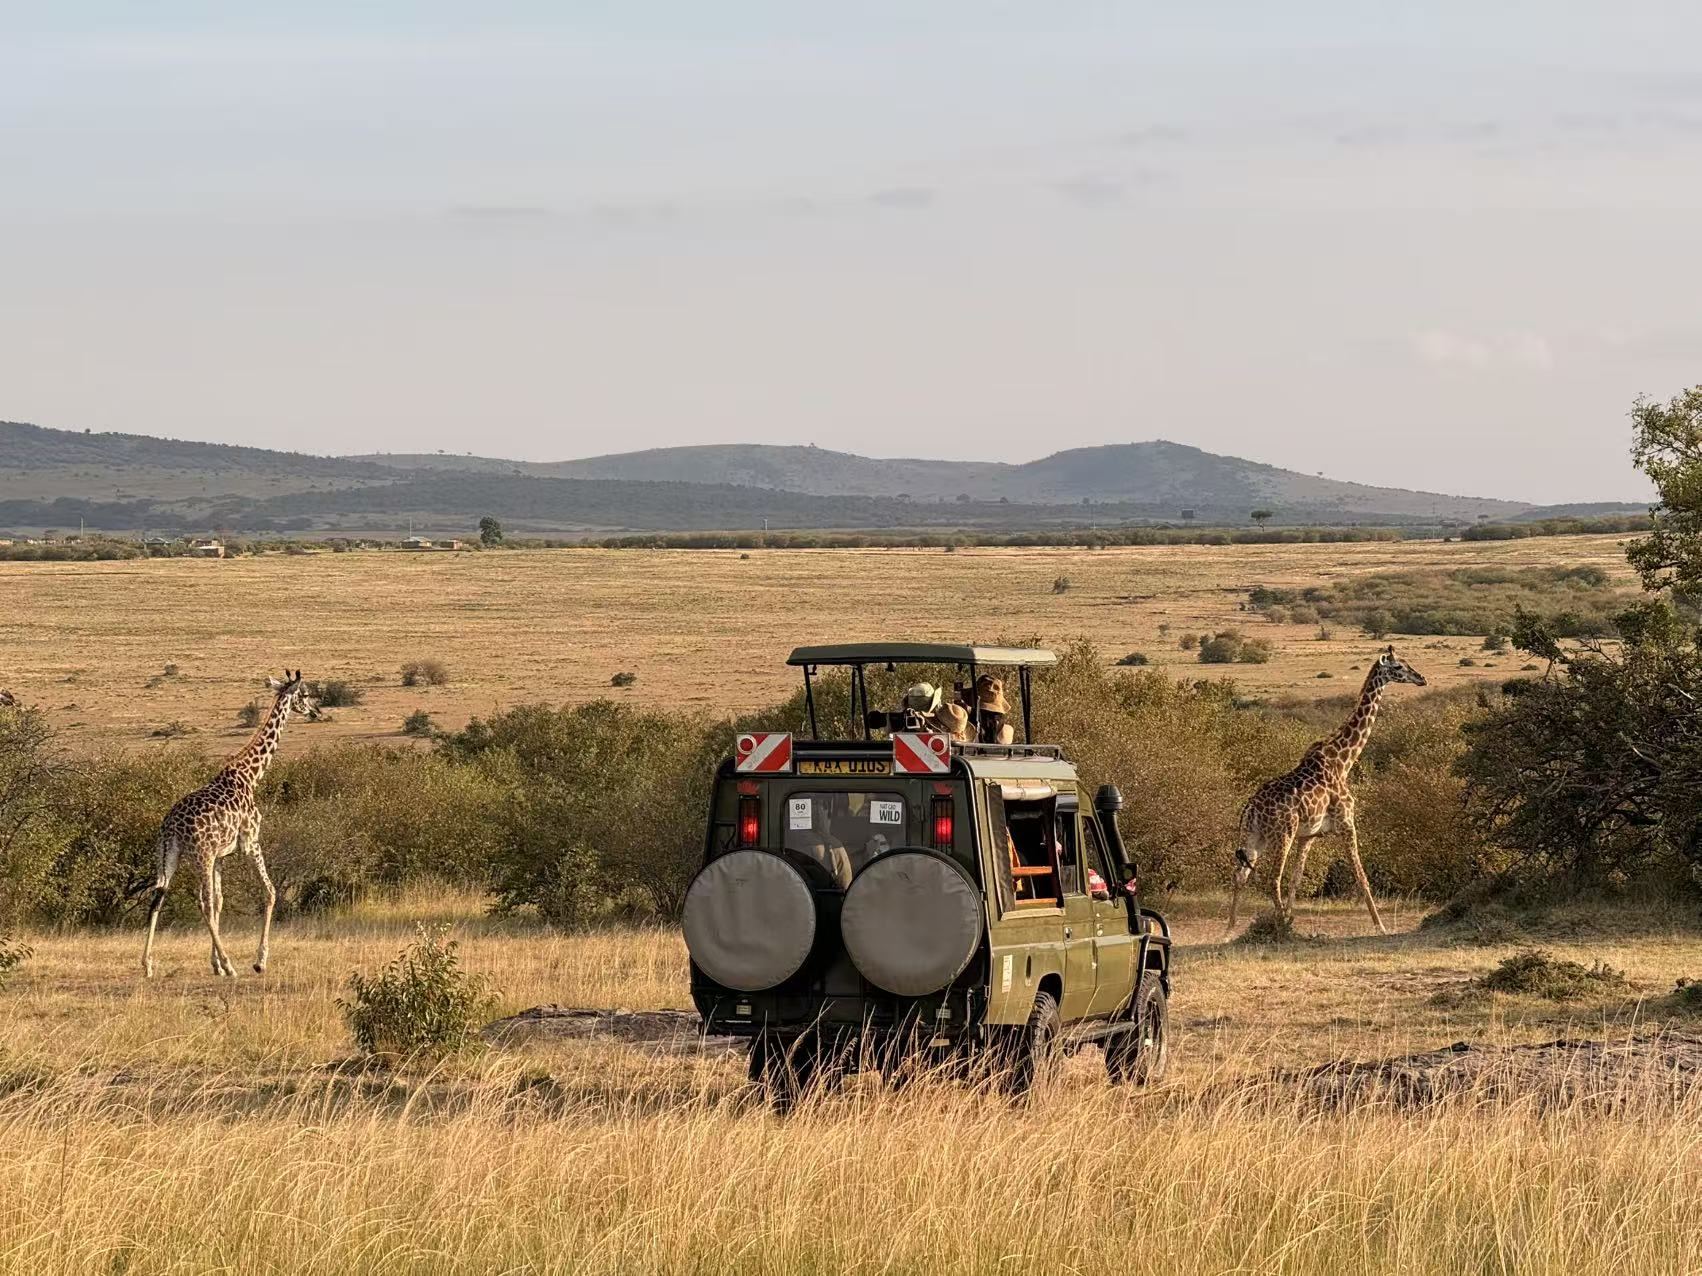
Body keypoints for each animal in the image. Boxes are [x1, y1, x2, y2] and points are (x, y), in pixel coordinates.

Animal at [142, 671, 318, 978]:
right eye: (305, 694)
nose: (315, 711)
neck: (251, 775)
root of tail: (170, 827)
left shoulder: (221, 856)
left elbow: (220, 902)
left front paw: (215, 963)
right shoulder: (251, 842)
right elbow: (269, 892)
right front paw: (258, 961)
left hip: (168, 856)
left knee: (159, 897)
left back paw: (148, 964)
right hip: (200, 855)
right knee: (201, 901)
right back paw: (230, 964)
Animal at [1225, 646, 1427, 937]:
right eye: (1399, 667)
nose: (1422, 678)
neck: (1343, 761)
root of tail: (1250, 809)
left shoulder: (1309, 835)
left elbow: (1296, 879)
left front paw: (1289, 916)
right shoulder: (1347, 823)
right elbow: (1361, 876)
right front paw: (1381, 926)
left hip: (1254, 836)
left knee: (1241, 874)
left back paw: (1229, 929)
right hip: (1281, 833)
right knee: (1272, 879)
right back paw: (1280, 928)